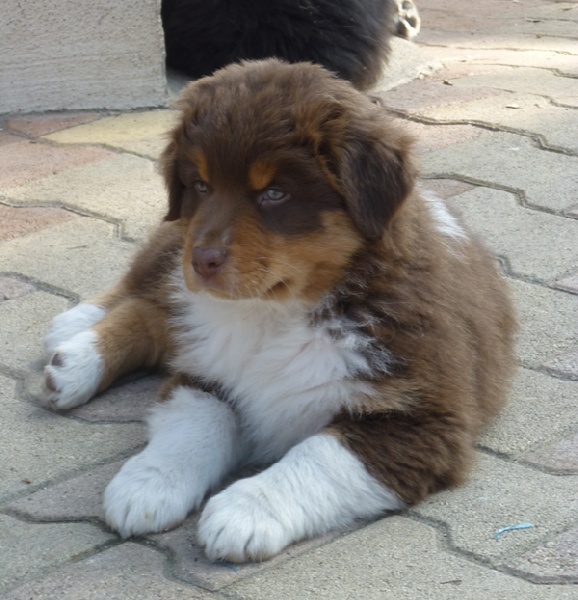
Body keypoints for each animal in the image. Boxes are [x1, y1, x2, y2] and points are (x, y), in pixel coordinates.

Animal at [42, 59, 516, 564]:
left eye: (274, 194)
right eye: (201, 185)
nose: (203, 261)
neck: (278, 312)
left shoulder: (420, 420)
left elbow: (319, 457)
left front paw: (244, 513)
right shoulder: (206, 371)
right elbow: (197, 423)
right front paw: (147, 484)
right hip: (174, 247)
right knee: (146, 293)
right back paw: (73, 347)